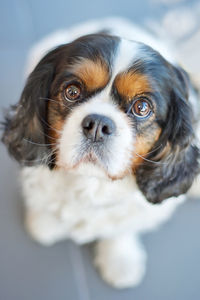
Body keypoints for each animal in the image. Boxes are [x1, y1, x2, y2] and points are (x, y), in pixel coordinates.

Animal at [1, 17, 200, 288]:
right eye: (72, 91)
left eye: (142, 107)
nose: (97, 125)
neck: (91, 183)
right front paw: (45, 223)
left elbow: (122, 229)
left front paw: (120, 260)